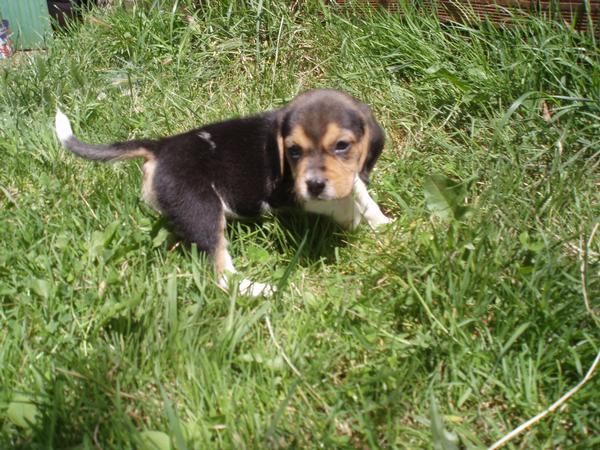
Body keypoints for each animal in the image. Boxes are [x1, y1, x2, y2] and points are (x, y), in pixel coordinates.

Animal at [55, 89, 394, 298]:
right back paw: (260, 290)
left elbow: (359, 192)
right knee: (221, 274)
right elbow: (342, 205)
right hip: (202, 209)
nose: (314, 184)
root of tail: (161, 146)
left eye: (342, 145)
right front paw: (358, 224)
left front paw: (384, 224)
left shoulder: (347, 179)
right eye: (294, 151)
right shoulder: (292, 194)